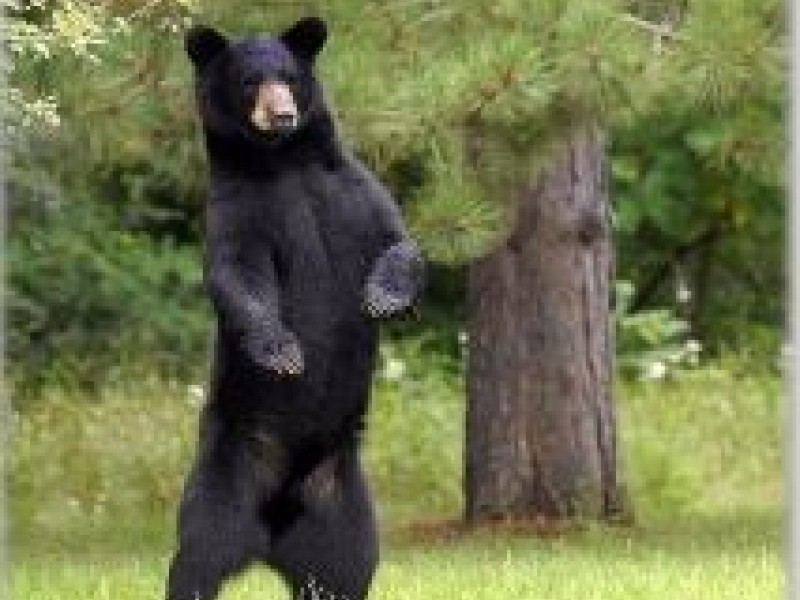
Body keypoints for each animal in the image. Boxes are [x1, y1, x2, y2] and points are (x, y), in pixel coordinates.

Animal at [166, 17, 424, 600]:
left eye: (286, 76)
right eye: (249, 82)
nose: (281, 113)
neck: (283, 159)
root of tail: (270, 534)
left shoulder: (352, 190)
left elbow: (400, 242)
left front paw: (384, 295)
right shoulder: (241, 210)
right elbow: (238, 274)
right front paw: (280, 350)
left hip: (339, 498)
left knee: (349, 562)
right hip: (228, 470)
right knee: (199, 552)